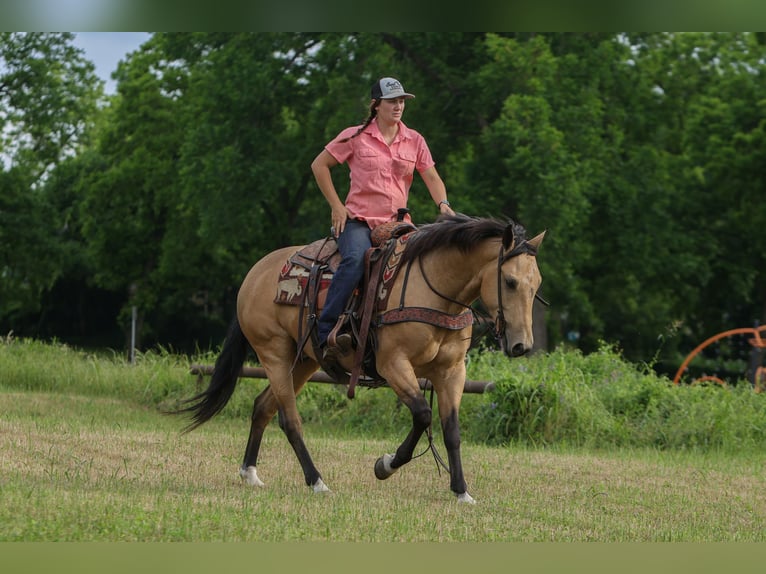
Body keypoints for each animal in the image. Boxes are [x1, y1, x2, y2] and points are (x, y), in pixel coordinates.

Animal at [175, 213, 545, 504]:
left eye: (536, 284)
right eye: (509, 281)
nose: (521, 346)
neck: (435, 289)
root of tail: (253, 275)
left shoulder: (452, 371)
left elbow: (451, 429)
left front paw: (461, 491)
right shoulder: (393, 364)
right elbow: (423, 415)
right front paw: (386, 465)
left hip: (304, 360)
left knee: (263, 407)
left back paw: (250, 472)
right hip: (274, 353)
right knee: (289, 419)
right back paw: (317, 481)